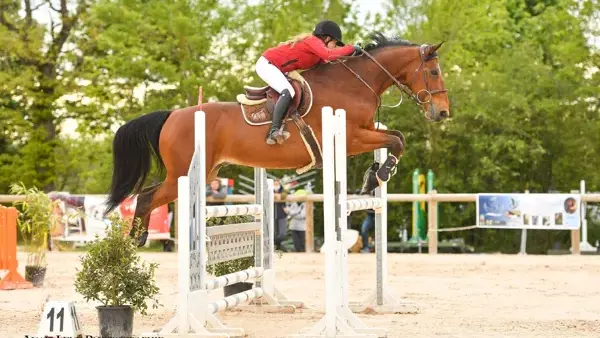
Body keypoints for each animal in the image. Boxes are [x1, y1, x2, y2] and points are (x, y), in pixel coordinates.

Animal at [104, 33, 450, 247]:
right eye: (434, 72)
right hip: (183, 174)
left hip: (201, 172)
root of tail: (172, 115)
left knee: (148, 196)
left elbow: (395, 137)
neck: (352, 84)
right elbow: (396, 141)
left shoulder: (364, 132)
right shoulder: (351, 137)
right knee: (145, 197)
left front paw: (372, 177)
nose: (443, 112)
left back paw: (138, 237)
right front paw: (380, 174)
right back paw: (135, 240)